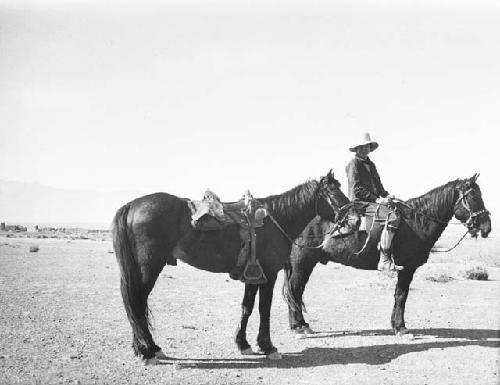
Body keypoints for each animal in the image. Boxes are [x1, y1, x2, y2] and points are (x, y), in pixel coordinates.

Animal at [113, 169, 350, 364]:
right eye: (334, 192)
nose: (353, 217)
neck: (277, 220)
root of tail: (132, 205)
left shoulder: (254, 274)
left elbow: (247, 307)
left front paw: (243, 344)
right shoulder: (269, 274)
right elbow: (264, 309)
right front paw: (268, 347)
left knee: (135, 304)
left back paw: (148, 348)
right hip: (148, 269)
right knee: (136, 302)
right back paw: (147, 351)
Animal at [286, 173, 492, 336]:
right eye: (473, 196)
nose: (486, 227)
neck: (416, 221)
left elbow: (398, 295)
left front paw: (395, 325)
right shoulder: (407, 268)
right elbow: (401, 295)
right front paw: (401, 328)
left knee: (295, 291)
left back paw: (299, 325)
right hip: (302, 263)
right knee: (294, 290)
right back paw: (299, 327)